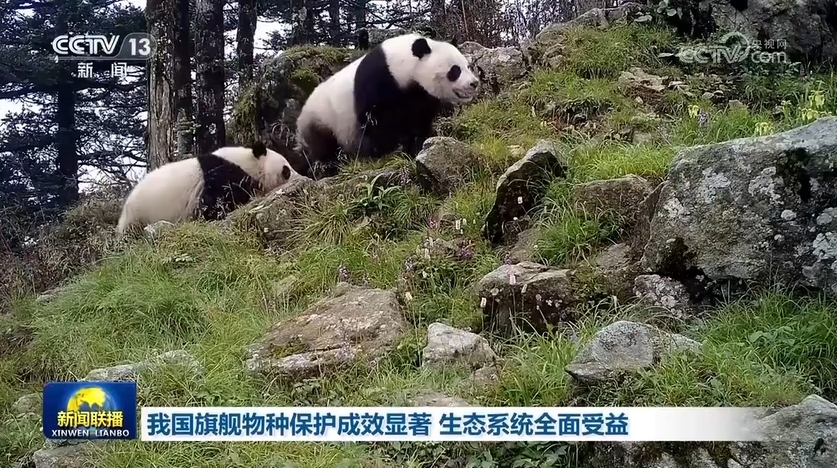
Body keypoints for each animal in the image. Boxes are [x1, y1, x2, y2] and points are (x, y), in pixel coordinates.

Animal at [292, 32, 476, 179]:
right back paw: (329, 164)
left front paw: (417, 144)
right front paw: (388, 152)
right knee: (324, 146)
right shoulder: (378, 81)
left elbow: (419, 119)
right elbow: (376, 122)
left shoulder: (421, 95)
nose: (474, 83)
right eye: (455, 70)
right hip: (323, 119)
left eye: (468, 66)